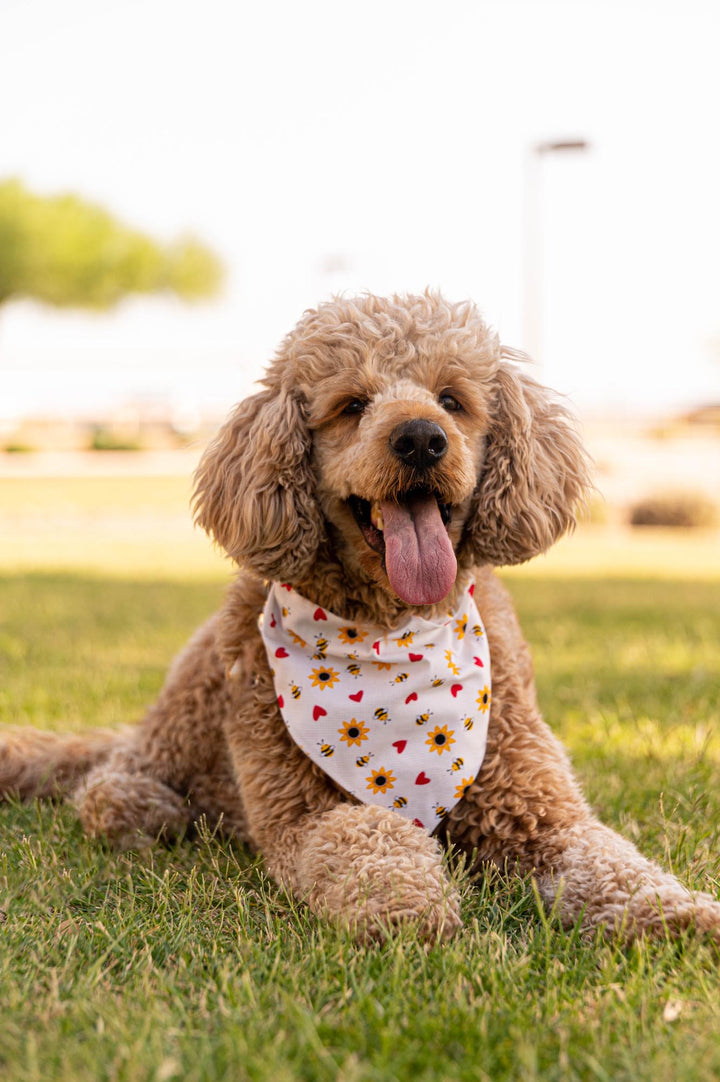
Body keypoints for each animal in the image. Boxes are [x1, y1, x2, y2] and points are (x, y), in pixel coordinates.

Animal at [1, 292, 718, 943]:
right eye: (351, 405)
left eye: (452, 399)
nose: (421, 438)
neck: (391, 629)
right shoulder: (302, 812)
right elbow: (364, 832)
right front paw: (406, 902)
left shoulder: (538, 807)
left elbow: (607, 856)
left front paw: (672, 910)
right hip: (194, 693)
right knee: (113, 772)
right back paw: (144, 805)